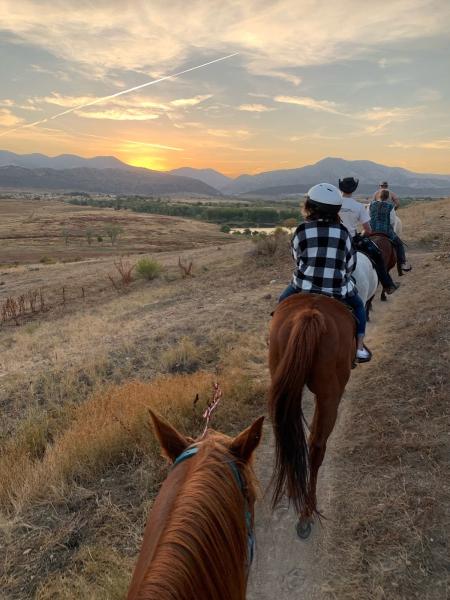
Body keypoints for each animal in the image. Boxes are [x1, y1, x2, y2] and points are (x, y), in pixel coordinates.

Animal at [268, 292, 356, 536]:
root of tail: (309, 314)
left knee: (286, 435)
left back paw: (293, 490)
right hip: (329, 395)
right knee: (316, 445)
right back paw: (307, 512)